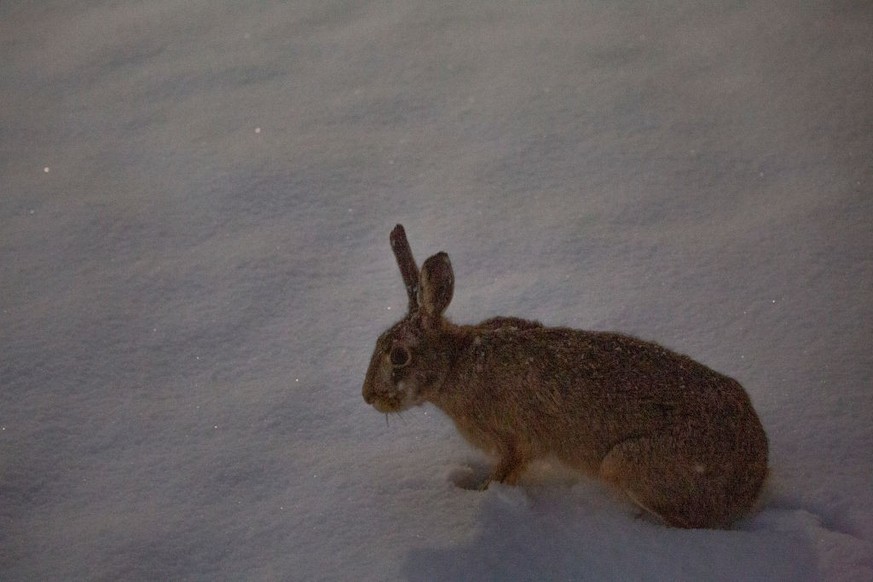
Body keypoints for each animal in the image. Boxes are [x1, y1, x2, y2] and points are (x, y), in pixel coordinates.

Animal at [358, 226, 768, 532]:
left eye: (399, 356)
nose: (367, 396)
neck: (455, 363)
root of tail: (754, 477)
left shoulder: (512, 440)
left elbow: (505, 471)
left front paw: (481, 493)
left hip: (628, 464)